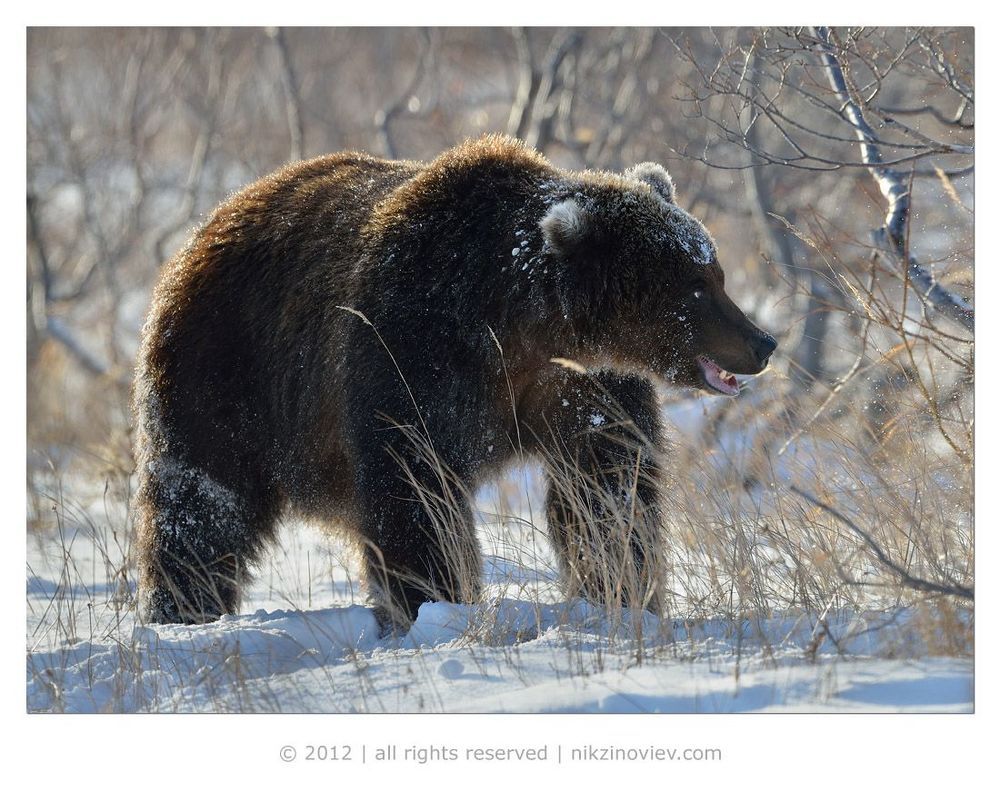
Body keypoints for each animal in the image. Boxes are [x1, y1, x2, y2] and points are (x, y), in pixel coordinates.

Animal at [132, 133, 776, 632]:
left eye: (714, 271)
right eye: (698, 284)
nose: (762, 343)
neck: (521, 328)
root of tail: (211, 221)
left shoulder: (584, 386)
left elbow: (606, 487)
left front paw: (619, 591)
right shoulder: (414, 352)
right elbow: (415, 488)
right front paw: (432, 604)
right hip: (226, 369)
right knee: (203, 502)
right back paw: (183, 609)